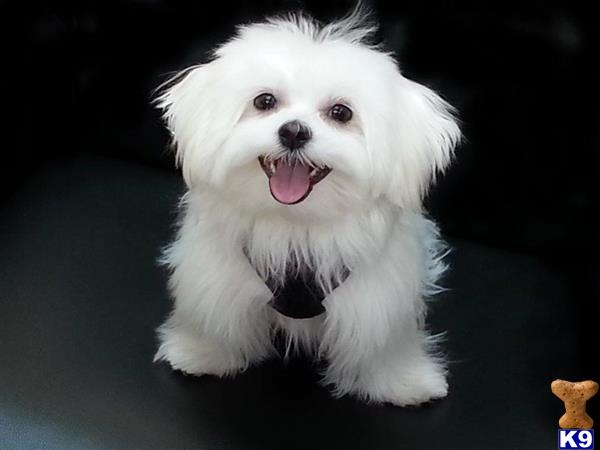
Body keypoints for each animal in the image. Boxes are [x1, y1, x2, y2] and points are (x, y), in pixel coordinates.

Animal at [154, 8, 460, 406]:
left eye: (341, 112)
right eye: (265, 101)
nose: (294, 131)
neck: (297, 223)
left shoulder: (376, 296)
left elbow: (381, 342)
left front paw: (402, 381)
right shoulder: (218, 275)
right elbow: (217, 318)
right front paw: (202, 353)